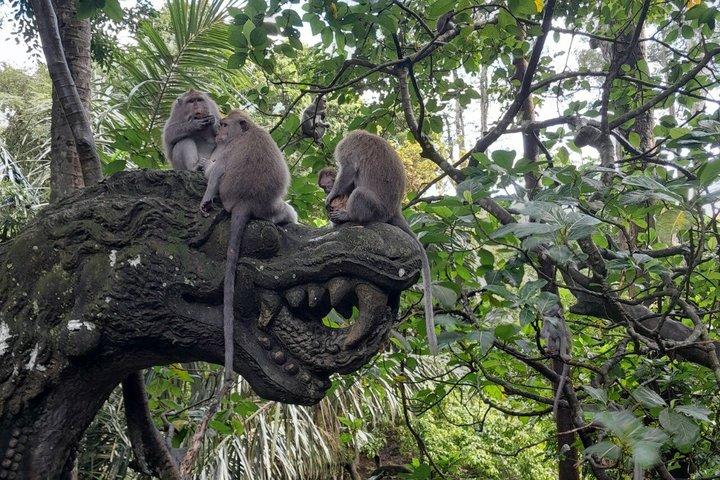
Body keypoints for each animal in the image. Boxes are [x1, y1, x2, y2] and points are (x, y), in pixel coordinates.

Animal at [200, 110, 297, 384]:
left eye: (224, 125)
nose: (218, 133)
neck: (247, 131)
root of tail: (245, 203)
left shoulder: (226, 149)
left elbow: (216, 170)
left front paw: (205, 194)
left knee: (216, 172)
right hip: (270, 211)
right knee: (285, 211)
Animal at [325, 130, 437, 354]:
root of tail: (395, 209)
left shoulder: (346, 148)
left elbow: (348, 171)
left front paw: (332, 195)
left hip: (374, 208)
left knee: (360, 193)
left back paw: (348, 215)